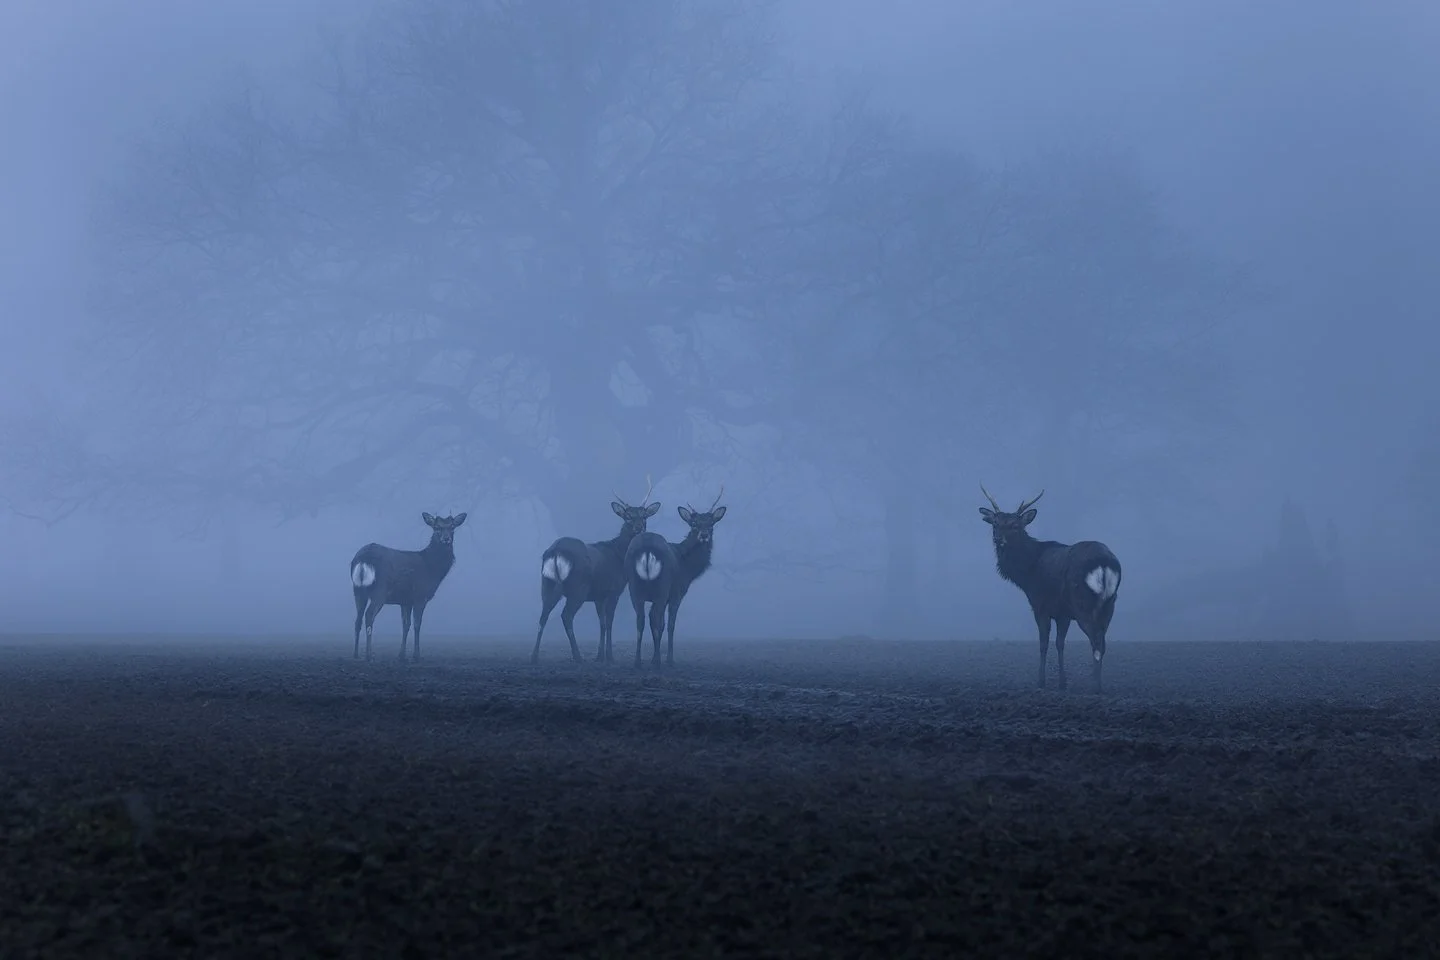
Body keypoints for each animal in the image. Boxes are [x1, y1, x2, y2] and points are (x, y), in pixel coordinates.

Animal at [350, 512, 467, 663]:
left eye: (452, 527)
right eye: (436, 527)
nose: (446, 539)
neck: (432, 568)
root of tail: (364, 557)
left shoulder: (405, 601)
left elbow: (405, 625)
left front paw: (402, 655)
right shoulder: (420, 596)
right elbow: (417, 625)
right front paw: (416, 655)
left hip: (358, 590)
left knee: (357, 620)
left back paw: (355, 654)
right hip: (379, 590)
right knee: (369, 616)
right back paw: (369, 655)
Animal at [532, 477, 660, 664]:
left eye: (644, 515)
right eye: (627, 516)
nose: (639, 528)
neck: (619, 555)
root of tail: (555, 551)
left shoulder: (599, 595)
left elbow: (602, 623)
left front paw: (600, 656)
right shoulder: (614, 590)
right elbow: (609, 622)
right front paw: (610, 657)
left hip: (547, 584)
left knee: (543, 616)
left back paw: (534, 656)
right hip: (578, 588)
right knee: (566, 616)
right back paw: (578, 656)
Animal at [623, 485, 726, 668]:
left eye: (711, 523)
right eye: (694, 524)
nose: (704, 535)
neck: (687, 568)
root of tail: (647, 551)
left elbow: (657, 622)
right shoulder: (677, 593)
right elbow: (669, 625)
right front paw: (670, 659)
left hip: (633, 587)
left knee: (640, 619)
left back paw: (638, 661)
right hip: (662, 586)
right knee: (655, 619)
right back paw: (657, 661)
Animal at [979, 486, 1121, 693]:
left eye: (1015, 525)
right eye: (995, 524)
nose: (998, 539)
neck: (1028, 572)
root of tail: (1105, 562)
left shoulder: (1040, 605)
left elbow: (1043, 643)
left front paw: (1041, 681)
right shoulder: (1062, 612)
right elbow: (1060, 644)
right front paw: (1062, 682)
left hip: (1083, 604)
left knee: (1095, 641)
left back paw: (1096, 686)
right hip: (1110, 604)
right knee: (1102, 643)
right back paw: (1098, 683)